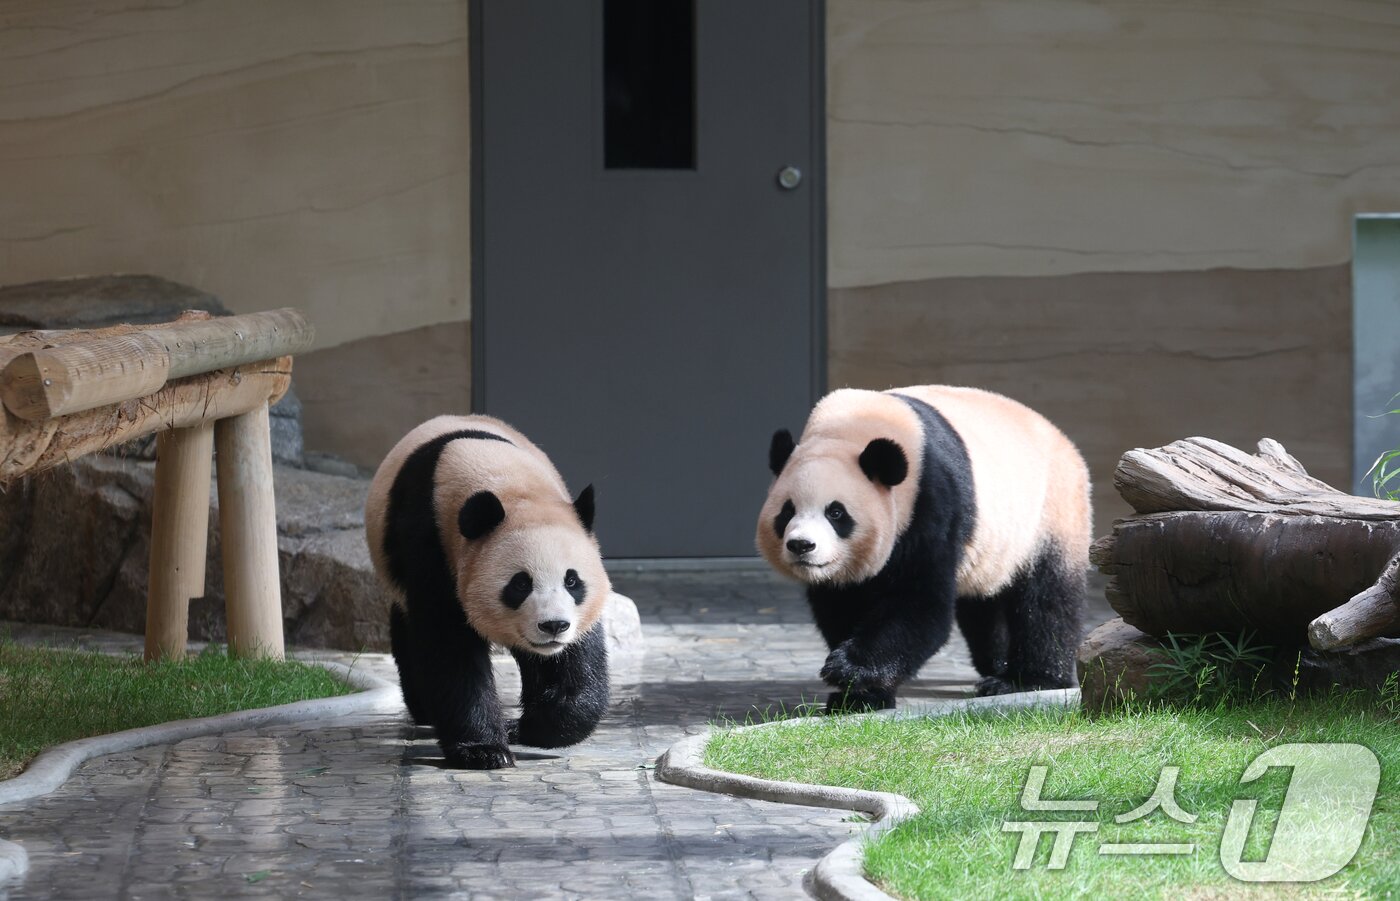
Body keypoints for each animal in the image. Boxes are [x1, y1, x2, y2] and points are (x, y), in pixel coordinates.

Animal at [365, 414, 610, 769]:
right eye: (520, 584)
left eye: (572, 581)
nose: (553, 626)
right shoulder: (430, 543)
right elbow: (449, 644)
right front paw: (484, 749)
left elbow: (576, 658)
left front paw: (529, 727)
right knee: (407, 631)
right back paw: (425, 710)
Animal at [757, 385, 1090, 711]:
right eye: (787, 512)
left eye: (836, 513)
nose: (801, 545)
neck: (848, 428)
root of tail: (1064, 441)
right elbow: (842, 605)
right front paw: (858, 696)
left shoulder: (930, 500)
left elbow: (920, 603)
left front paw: (849, 669)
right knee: (983, 602)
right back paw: (997, 666)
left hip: (1051, 510)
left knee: (1047, 599)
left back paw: (1029, 680)